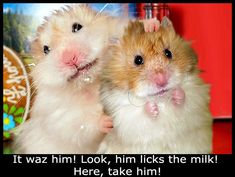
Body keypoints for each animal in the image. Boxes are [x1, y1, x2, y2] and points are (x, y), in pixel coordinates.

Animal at [13, 4, 133, 153]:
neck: (90, 84)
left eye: (77, 27)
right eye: (46, 49)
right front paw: (108, 121)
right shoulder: (57, 115)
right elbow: (78, 125)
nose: (69, 58)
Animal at [96, 18, 212, 153]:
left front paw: (177, 93)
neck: (161, 100)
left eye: (168, 53)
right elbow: (140, 112)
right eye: (138, 60)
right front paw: (152, 107)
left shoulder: (196, 101)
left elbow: (185, 100)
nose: (162, 81)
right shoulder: (124, 116)